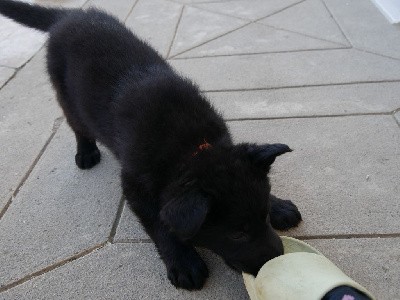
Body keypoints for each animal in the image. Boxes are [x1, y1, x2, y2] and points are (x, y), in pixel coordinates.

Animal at [0, 0, 300, 290]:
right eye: (237, 233)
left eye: (264, 216)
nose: (278, 258)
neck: (190, 150)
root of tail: (68, 16)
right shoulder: (135, 185)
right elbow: (160, 223)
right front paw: (183, 262)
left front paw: (279, 206)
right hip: (68, 96)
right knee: (77, 125)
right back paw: (86, 153)